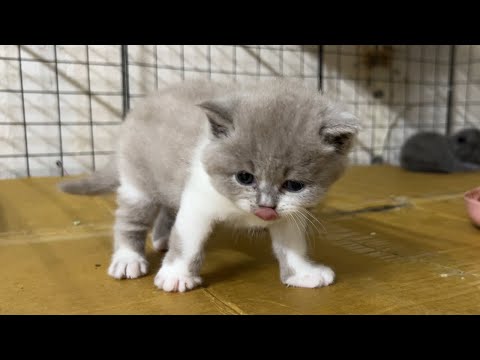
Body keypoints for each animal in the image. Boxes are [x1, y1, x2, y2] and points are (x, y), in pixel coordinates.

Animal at [59, 79, 360, 292]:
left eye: (294, 185)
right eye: (244, 177)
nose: (265, 206)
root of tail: (133, 112)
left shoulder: (291, 213)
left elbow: (293, 244)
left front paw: (303, 273)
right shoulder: (197, 202)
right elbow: (188, 241)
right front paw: (176, 276)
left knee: (167, 208)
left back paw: (161, 239)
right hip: (138, 184)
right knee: (130, 219)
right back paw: (128, 259)